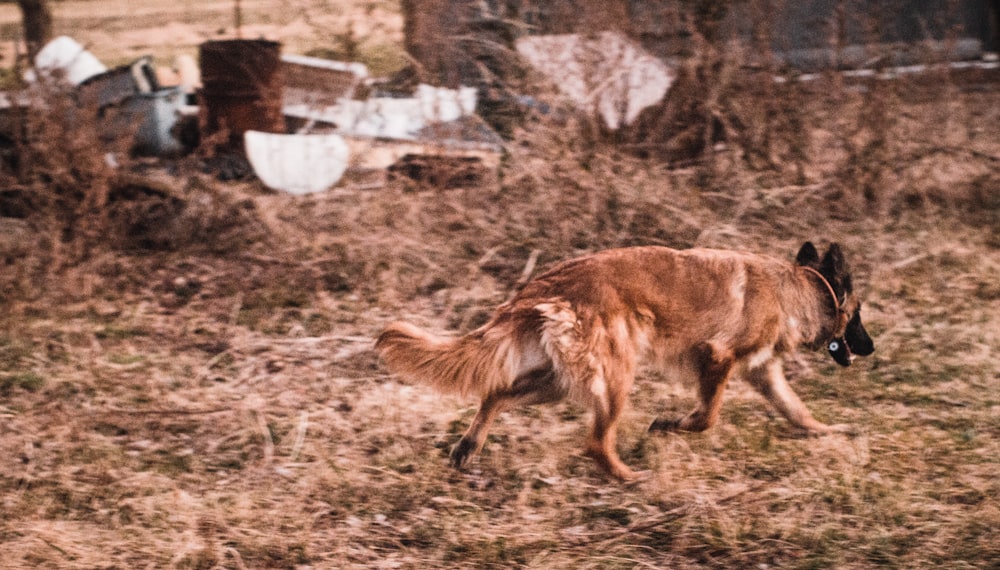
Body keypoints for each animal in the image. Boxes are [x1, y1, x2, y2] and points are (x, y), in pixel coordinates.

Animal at [376, 242, 876, 478]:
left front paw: (830, 432)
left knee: (495, 394)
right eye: (859, 315)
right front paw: (670, 425)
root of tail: (541, 284)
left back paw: (468, 447)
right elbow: (707, 416)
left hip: (556, 384)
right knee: (596, 443)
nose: (871, 347)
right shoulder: (717, 359)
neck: (798, 289)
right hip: (614, 380)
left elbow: (798, 412)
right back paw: (628, 477)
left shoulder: (763, 373)